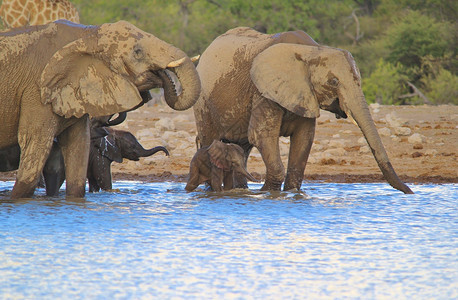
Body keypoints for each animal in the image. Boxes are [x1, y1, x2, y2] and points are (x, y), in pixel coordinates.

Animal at [0, 18, 200, 197]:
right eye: (137, 52)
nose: (167, 155)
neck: (88, 34)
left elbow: (78, 146)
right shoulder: (37, 93)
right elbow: (34, 145)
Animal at [191, 27, 414, 193]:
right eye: (334, 82)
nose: (409, 191)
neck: (313, 50)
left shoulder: (306, 94)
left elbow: (304, 138)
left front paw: (291, 193)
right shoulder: (263, 91)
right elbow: (263, 135)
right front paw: (268, 193)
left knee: (241, 148)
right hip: (203, 104)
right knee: (210, 140)